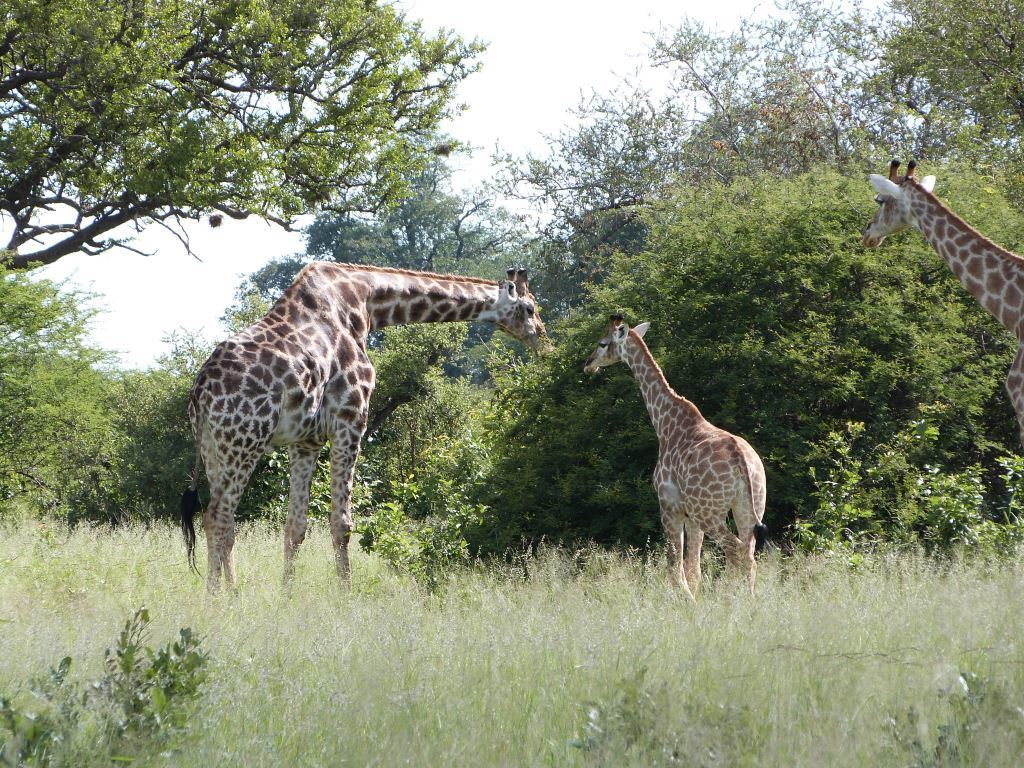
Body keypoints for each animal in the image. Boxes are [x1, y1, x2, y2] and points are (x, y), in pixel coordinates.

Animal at [180, 262, 548, 593]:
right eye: (530, 308)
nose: (544, 342)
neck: (366, 302)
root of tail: (201, 391)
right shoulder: (351, 417)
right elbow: (342, 524)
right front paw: (347, 595)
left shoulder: (307, 439)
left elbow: (295, 526)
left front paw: (287, 595)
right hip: (245, 441)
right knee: (217, 516)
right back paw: (214, 598)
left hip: (214, 449)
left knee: (225, 523)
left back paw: (232, 592)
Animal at [585, 313, 770, 602]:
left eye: (602, 343)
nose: (588, 364)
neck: (665, 424)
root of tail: (742, 462)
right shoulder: (690, 516)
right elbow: (693, 569)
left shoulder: (669, 506)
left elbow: (675, 569)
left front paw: (687, 603)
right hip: (749, 506)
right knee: (747, 554)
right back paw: (745, 601)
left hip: (710, 513)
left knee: (737, 553)